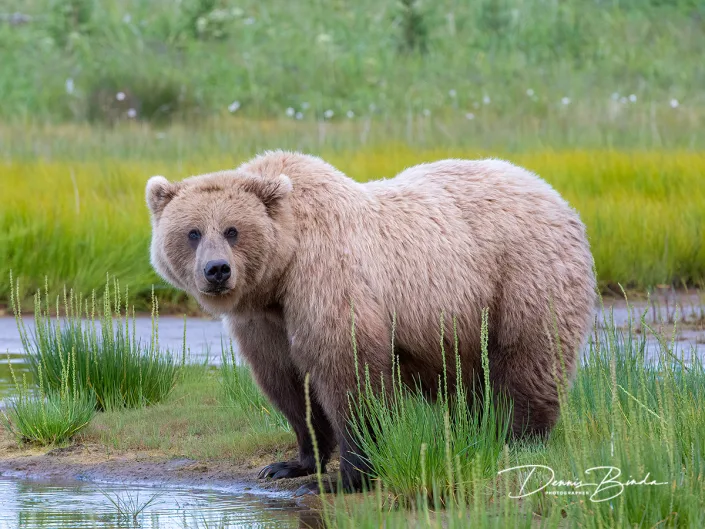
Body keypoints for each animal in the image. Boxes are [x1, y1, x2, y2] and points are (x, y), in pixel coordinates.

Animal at [145, 150, 596, 495]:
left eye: (233, 230)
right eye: (192, 232)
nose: (217, 270)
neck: (281, 273)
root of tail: (554, 195)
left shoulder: (326, 279)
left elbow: (350, 375)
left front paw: (346, 477)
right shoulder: (265, 323)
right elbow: (288, 384)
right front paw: (289, 463)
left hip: (522, 280)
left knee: (528, 360)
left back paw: (518, 437)